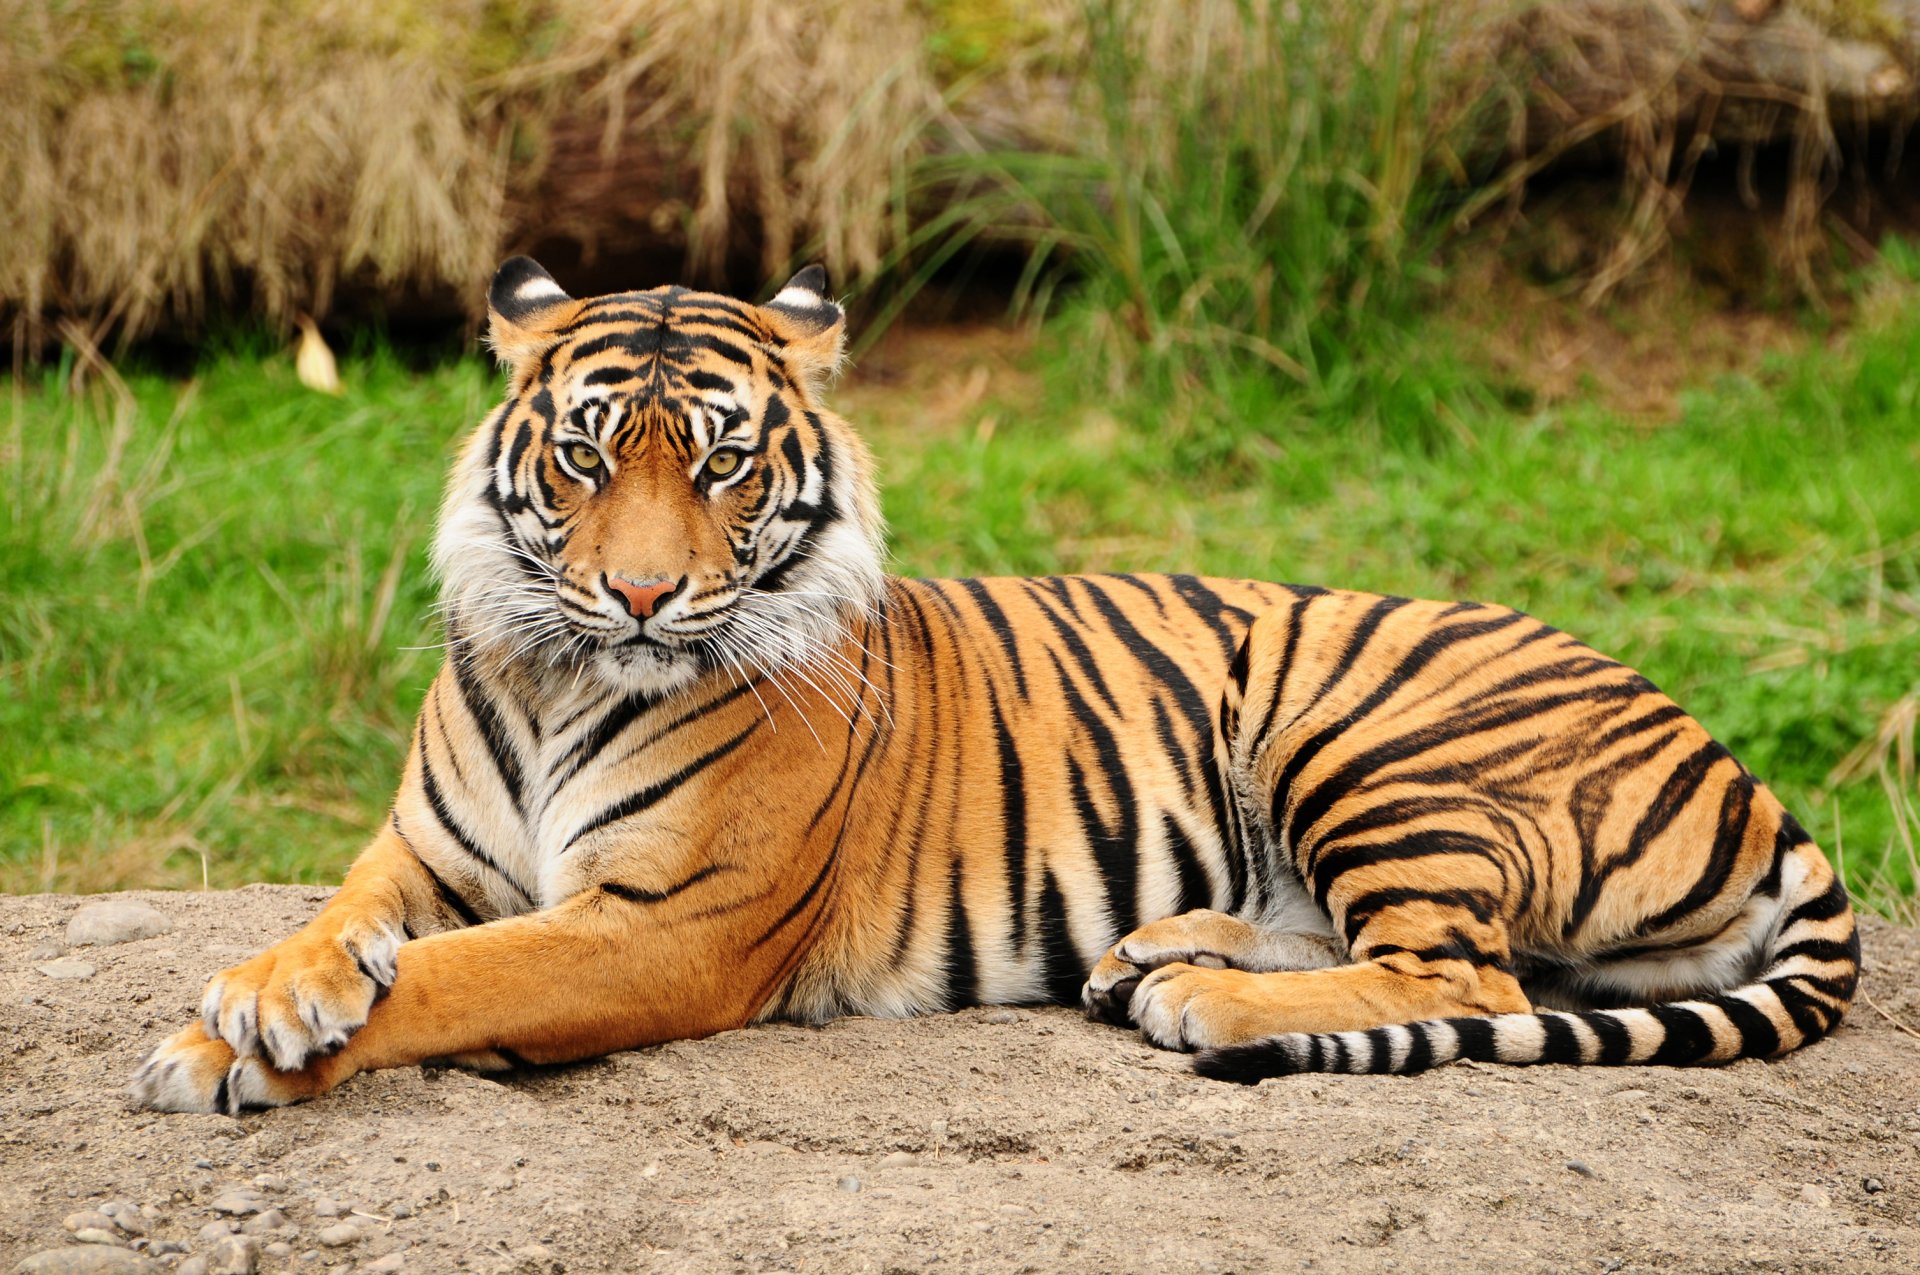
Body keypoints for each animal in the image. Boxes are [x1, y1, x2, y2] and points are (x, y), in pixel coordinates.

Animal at [129, 258, 1859, 1113]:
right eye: (585, 457)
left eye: (724, 466)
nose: (641, 592)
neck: (563, 676)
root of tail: (1741, 764)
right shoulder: (421, 851)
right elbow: (347, 924)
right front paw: (265, 994)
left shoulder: (666, 923)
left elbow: (458, 978)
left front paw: (227, 1051)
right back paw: (1158, 950)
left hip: (1366, 730)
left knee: (1468, 975)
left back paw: (1204, 996)